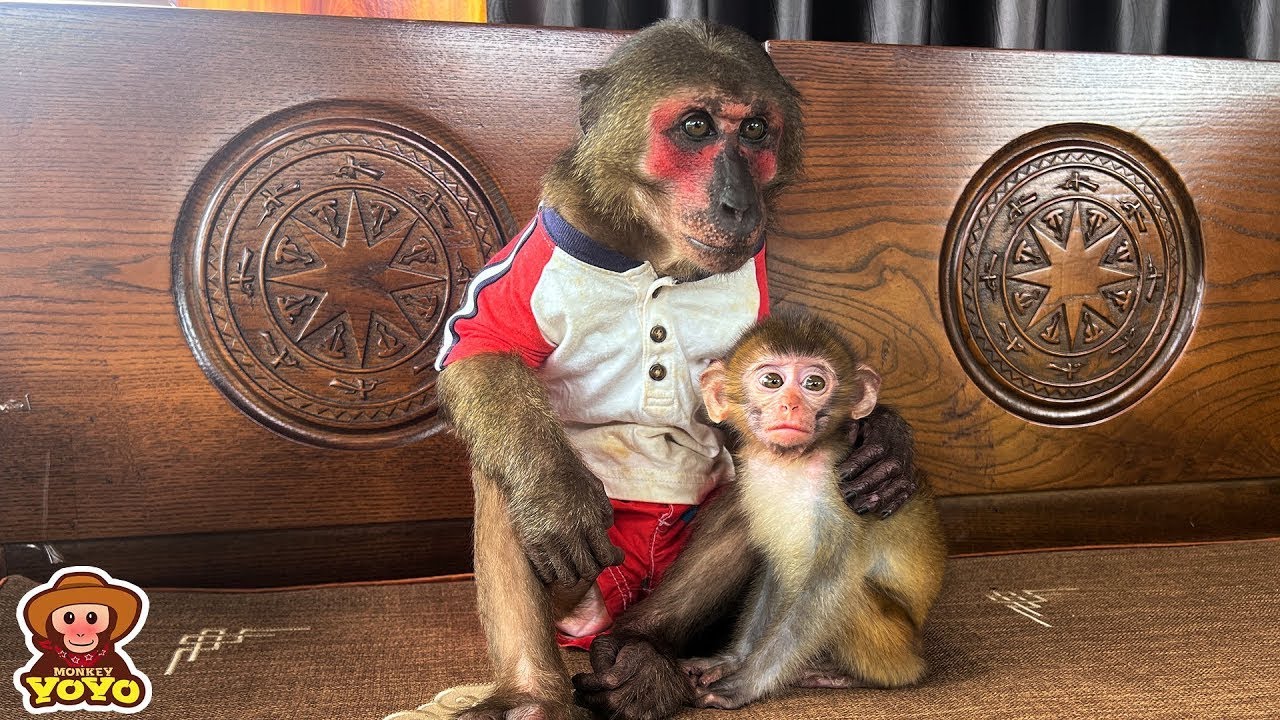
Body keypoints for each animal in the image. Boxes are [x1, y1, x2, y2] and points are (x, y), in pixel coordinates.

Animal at [574, 313, 946, 719]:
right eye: (772, 381)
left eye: (815, 383)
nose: (790, 406)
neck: (794, 464)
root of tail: (917, 653)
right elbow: (773, 569)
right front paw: (732, 660)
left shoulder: (844, 498)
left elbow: (829, 584)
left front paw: (743, 684)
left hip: (896, 643)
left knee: (854, 596)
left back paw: (852, 675)